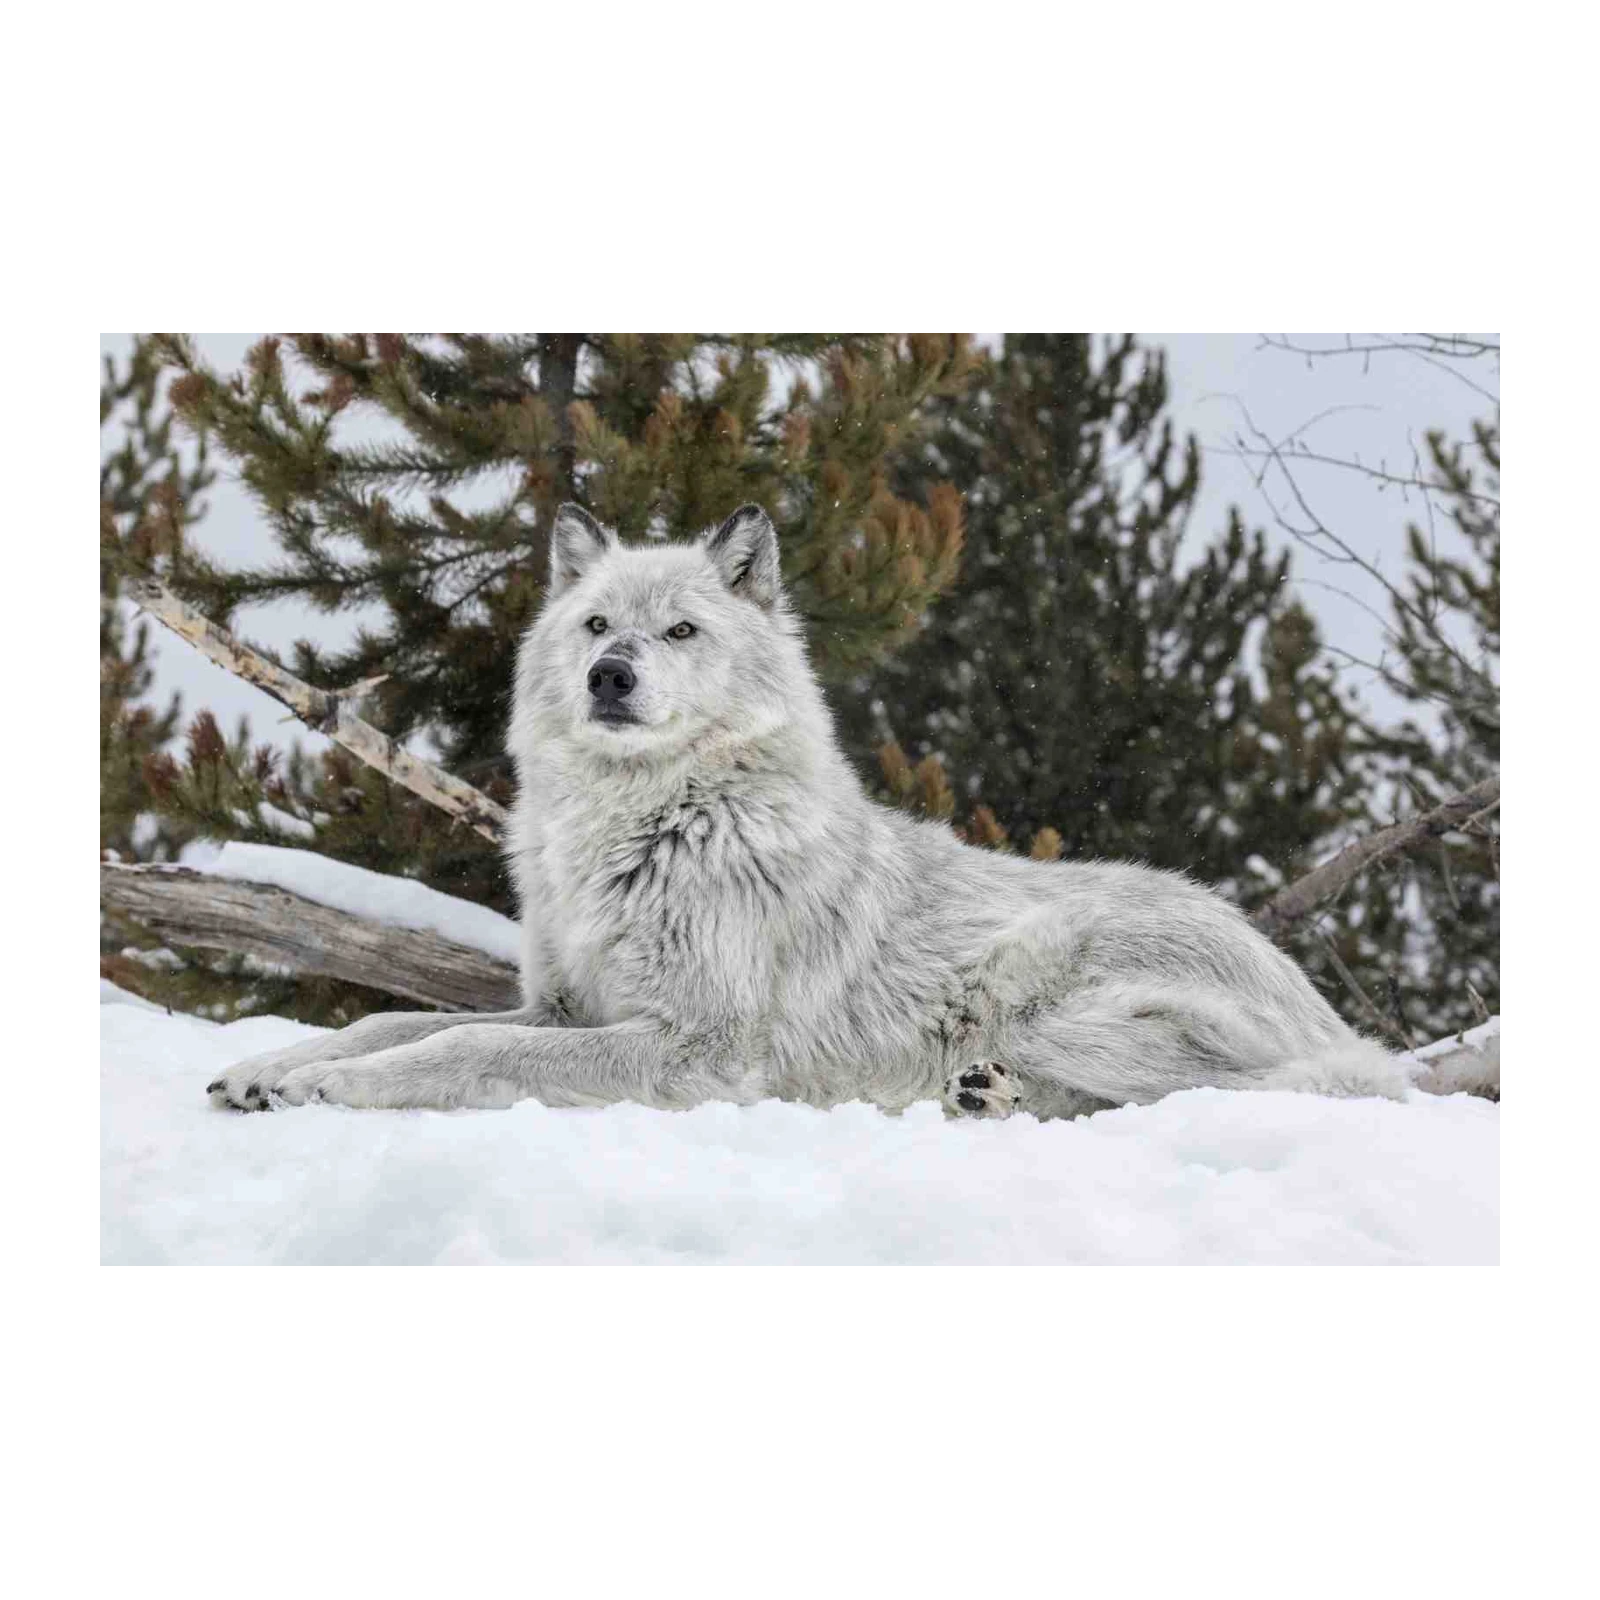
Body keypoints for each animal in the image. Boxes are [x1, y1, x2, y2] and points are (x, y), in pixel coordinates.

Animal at [208, 503, 1407, 1118]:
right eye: (595, 623)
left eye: (679, 631)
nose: (609, 674)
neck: (644, 826)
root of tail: (1319, 1005)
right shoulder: (562, 1006)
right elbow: (394, 1019)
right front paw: (276, 1067)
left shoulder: (694, 1048)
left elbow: (450, 1049)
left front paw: (333, 1088)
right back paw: (986, 1097)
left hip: (1042, 1000)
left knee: (1240, 1094)